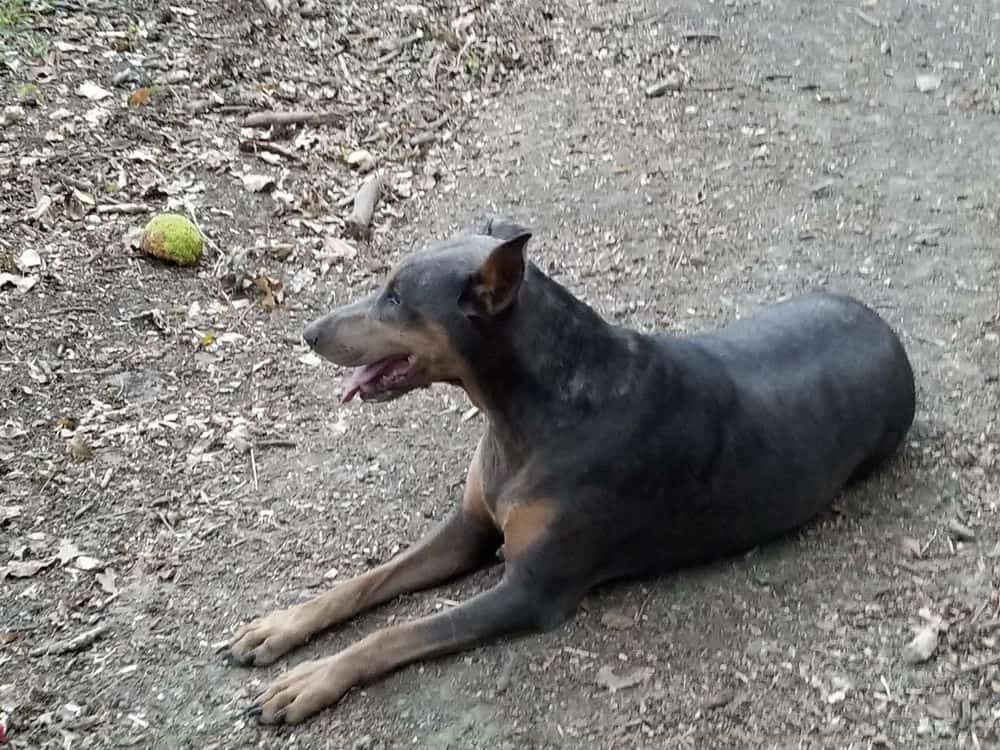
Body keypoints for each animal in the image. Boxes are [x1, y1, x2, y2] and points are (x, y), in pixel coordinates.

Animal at [225, 217, 916, 728]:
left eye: (395, 298)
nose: (309, 332)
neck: (525, 410)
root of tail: (889, 332)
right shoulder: (469, 529)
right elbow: (364, 583)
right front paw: (281, 626)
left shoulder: (530, 589)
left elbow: (395, 634)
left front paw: (309, 681)